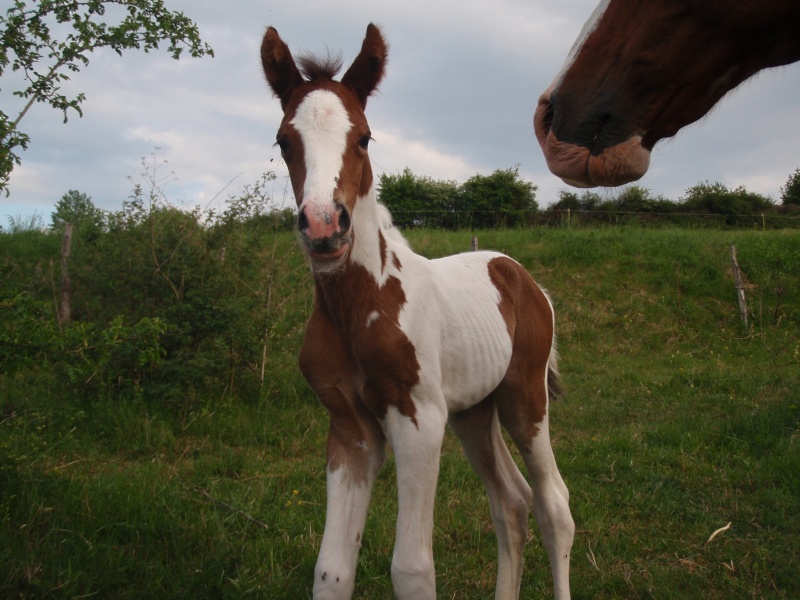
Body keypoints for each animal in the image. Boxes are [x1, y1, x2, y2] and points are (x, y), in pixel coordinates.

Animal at [260, 23, 572, 600]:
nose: (324, 228)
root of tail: (521, 276)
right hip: (475, 412)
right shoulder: (349, 429)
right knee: (511, 504)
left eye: (364, 137)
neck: (363, 305)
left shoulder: (419, 419)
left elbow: (411, 569)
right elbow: (332, 569)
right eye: (283, 140)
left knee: (553, 507)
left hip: (525, 399)